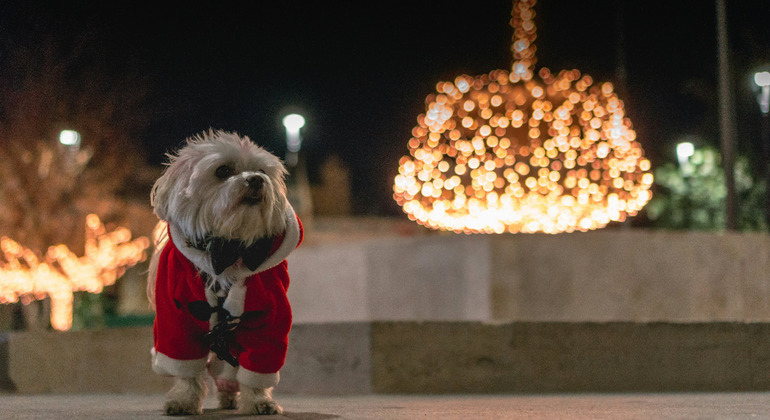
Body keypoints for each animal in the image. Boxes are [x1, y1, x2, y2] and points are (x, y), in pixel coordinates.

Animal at [146, 130, 302, 414]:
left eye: (261, 170)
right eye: (223, 171)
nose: (256, 180)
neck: (229, 248)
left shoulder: (269, 317)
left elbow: (259, 362)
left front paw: (259, 401)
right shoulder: (176, 320)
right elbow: (185, 367)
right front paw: (184, 400)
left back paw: (230, 393)